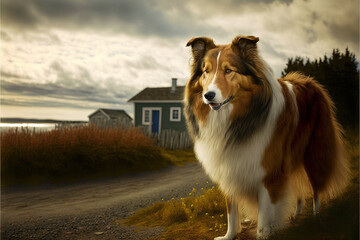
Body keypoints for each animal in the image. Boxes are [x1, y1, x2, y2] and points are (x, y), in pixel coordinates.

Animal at [183, 34, 348, 239]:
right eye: (206, 71)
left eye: (228, 70)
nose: (208, 96)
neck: (237, 122)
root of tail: (311, 82)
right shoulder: (229, 166)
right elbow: (231, 211)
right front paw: (229, 235)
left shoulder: (269, 172)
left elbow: (265, 215)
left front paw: (264, 234)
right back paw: (296, 215)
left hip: (315, 153)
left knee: (316, 189)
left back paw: (315, 218)